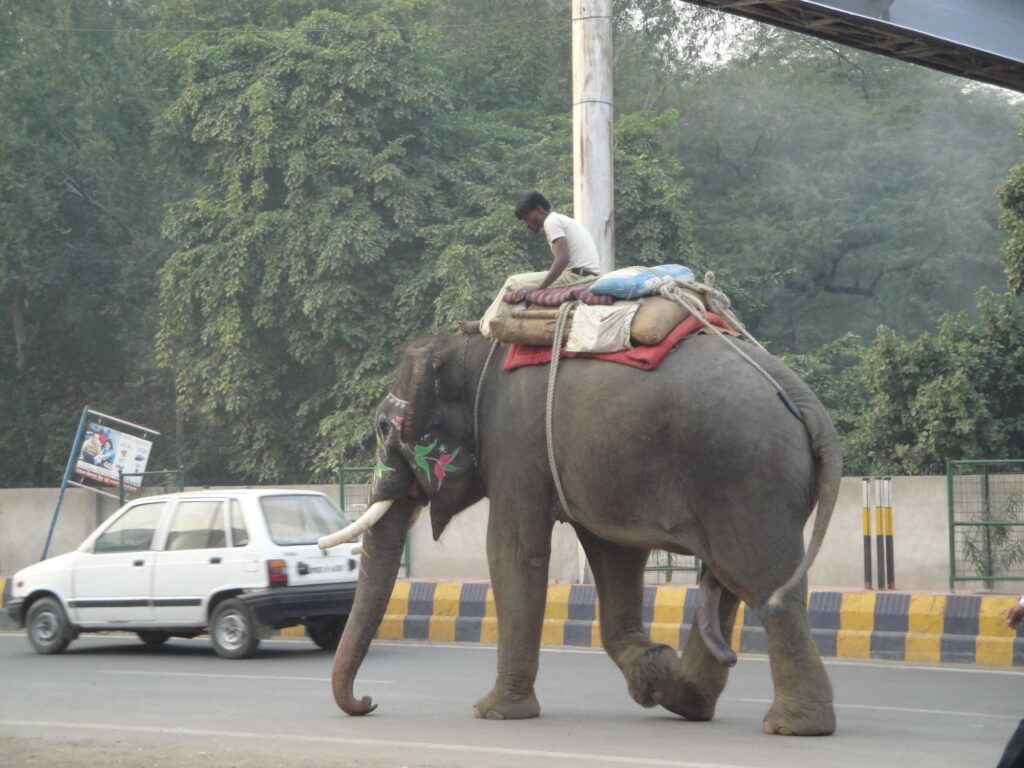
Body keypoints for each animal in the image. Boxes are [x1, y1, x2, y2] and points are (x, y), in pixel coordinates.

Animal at [322, 329, 842, 736]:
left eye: (383, 428)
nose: (368, 702)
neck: (472, 345)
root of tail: (807, 402)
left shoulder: (514, 440)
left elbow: (513, 552)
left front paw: (494, 713)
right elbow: (615, 555)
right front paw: (653, 672)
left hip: (746, 477)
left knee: (760, 582)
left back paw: (793, 727)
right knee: (730, 580)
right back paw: (688, 701)